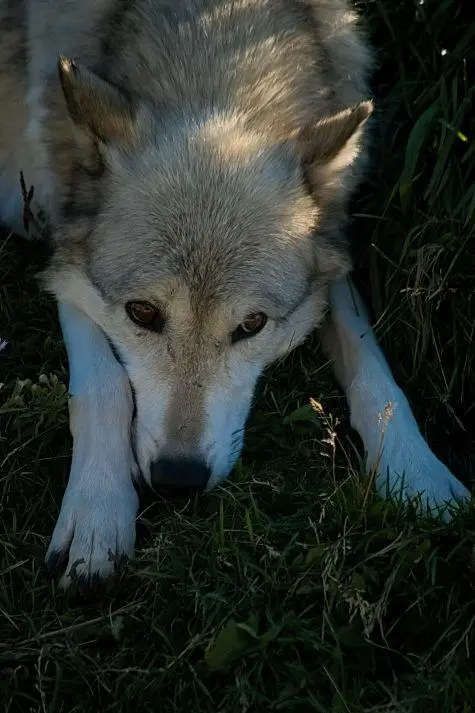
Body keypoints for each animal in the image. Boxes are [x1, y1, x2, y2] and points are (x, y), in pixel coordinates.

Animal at [0, 0, 469, 588]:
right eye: (142, 312)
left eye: (252, 325)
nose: (178, 479)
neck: (206, 42)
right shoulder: (61, 246)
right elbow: (103, 385)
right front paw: (96, 513)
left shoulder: (329, 258)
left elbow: (374, 370)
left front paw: (419, 473)